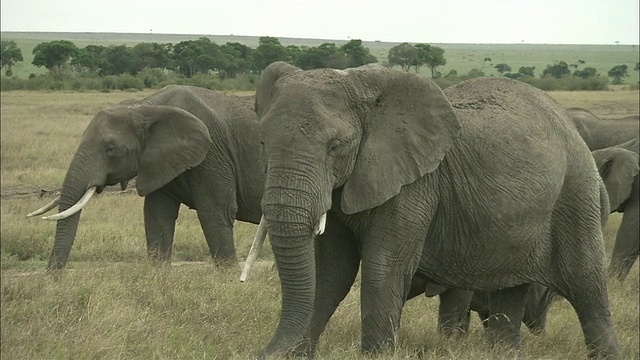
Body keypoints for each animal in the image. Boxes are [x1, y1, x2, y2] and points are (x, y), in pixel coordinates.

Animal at [28, 84, 264, 270]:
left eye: (110, 149)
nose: (52, 278)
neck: (145, 107)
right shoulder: (158, 161)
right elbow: (156, 216)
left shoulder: (212, 155)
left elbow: (215, 212)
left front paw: (229, 280)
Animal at [250, 60, 620, 358]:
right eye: (263, 142)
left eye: (335, 146)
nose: (261, 353)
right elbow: (331, 273)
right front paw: (296, 355)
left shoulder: (416, 185)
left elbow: (383, 269)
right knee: (509, 292)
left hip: (575, 195)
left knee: (587, 287)